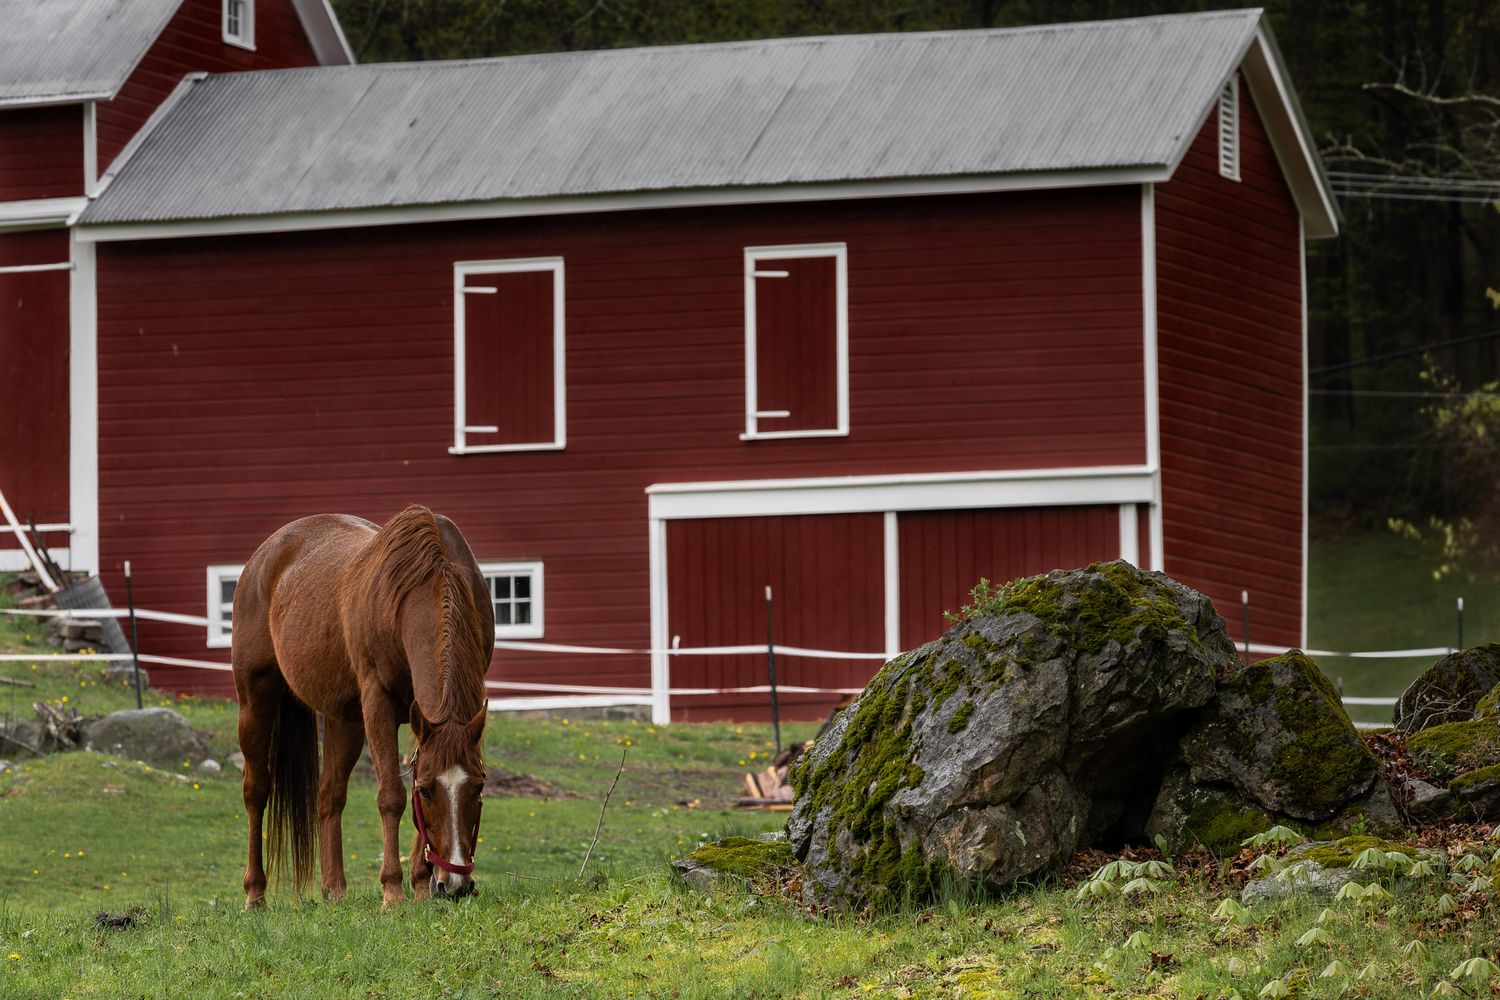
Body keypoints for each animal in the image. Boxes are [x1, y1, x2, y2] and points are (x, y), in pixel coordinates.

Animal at [231, 505, 495, 908]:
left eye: (478, 788)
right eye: (426, 791)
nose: (454, 885)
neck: (427, 581)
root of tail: (263, 558)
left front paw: (421, 884)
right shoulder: (378, 703)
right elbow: (391, 796)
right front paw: (393, 891)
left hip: (346, 720)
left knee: (329, 794)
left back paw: (335, 890)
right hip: (255, 700)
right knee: (256, 791)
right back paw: (255, 894)